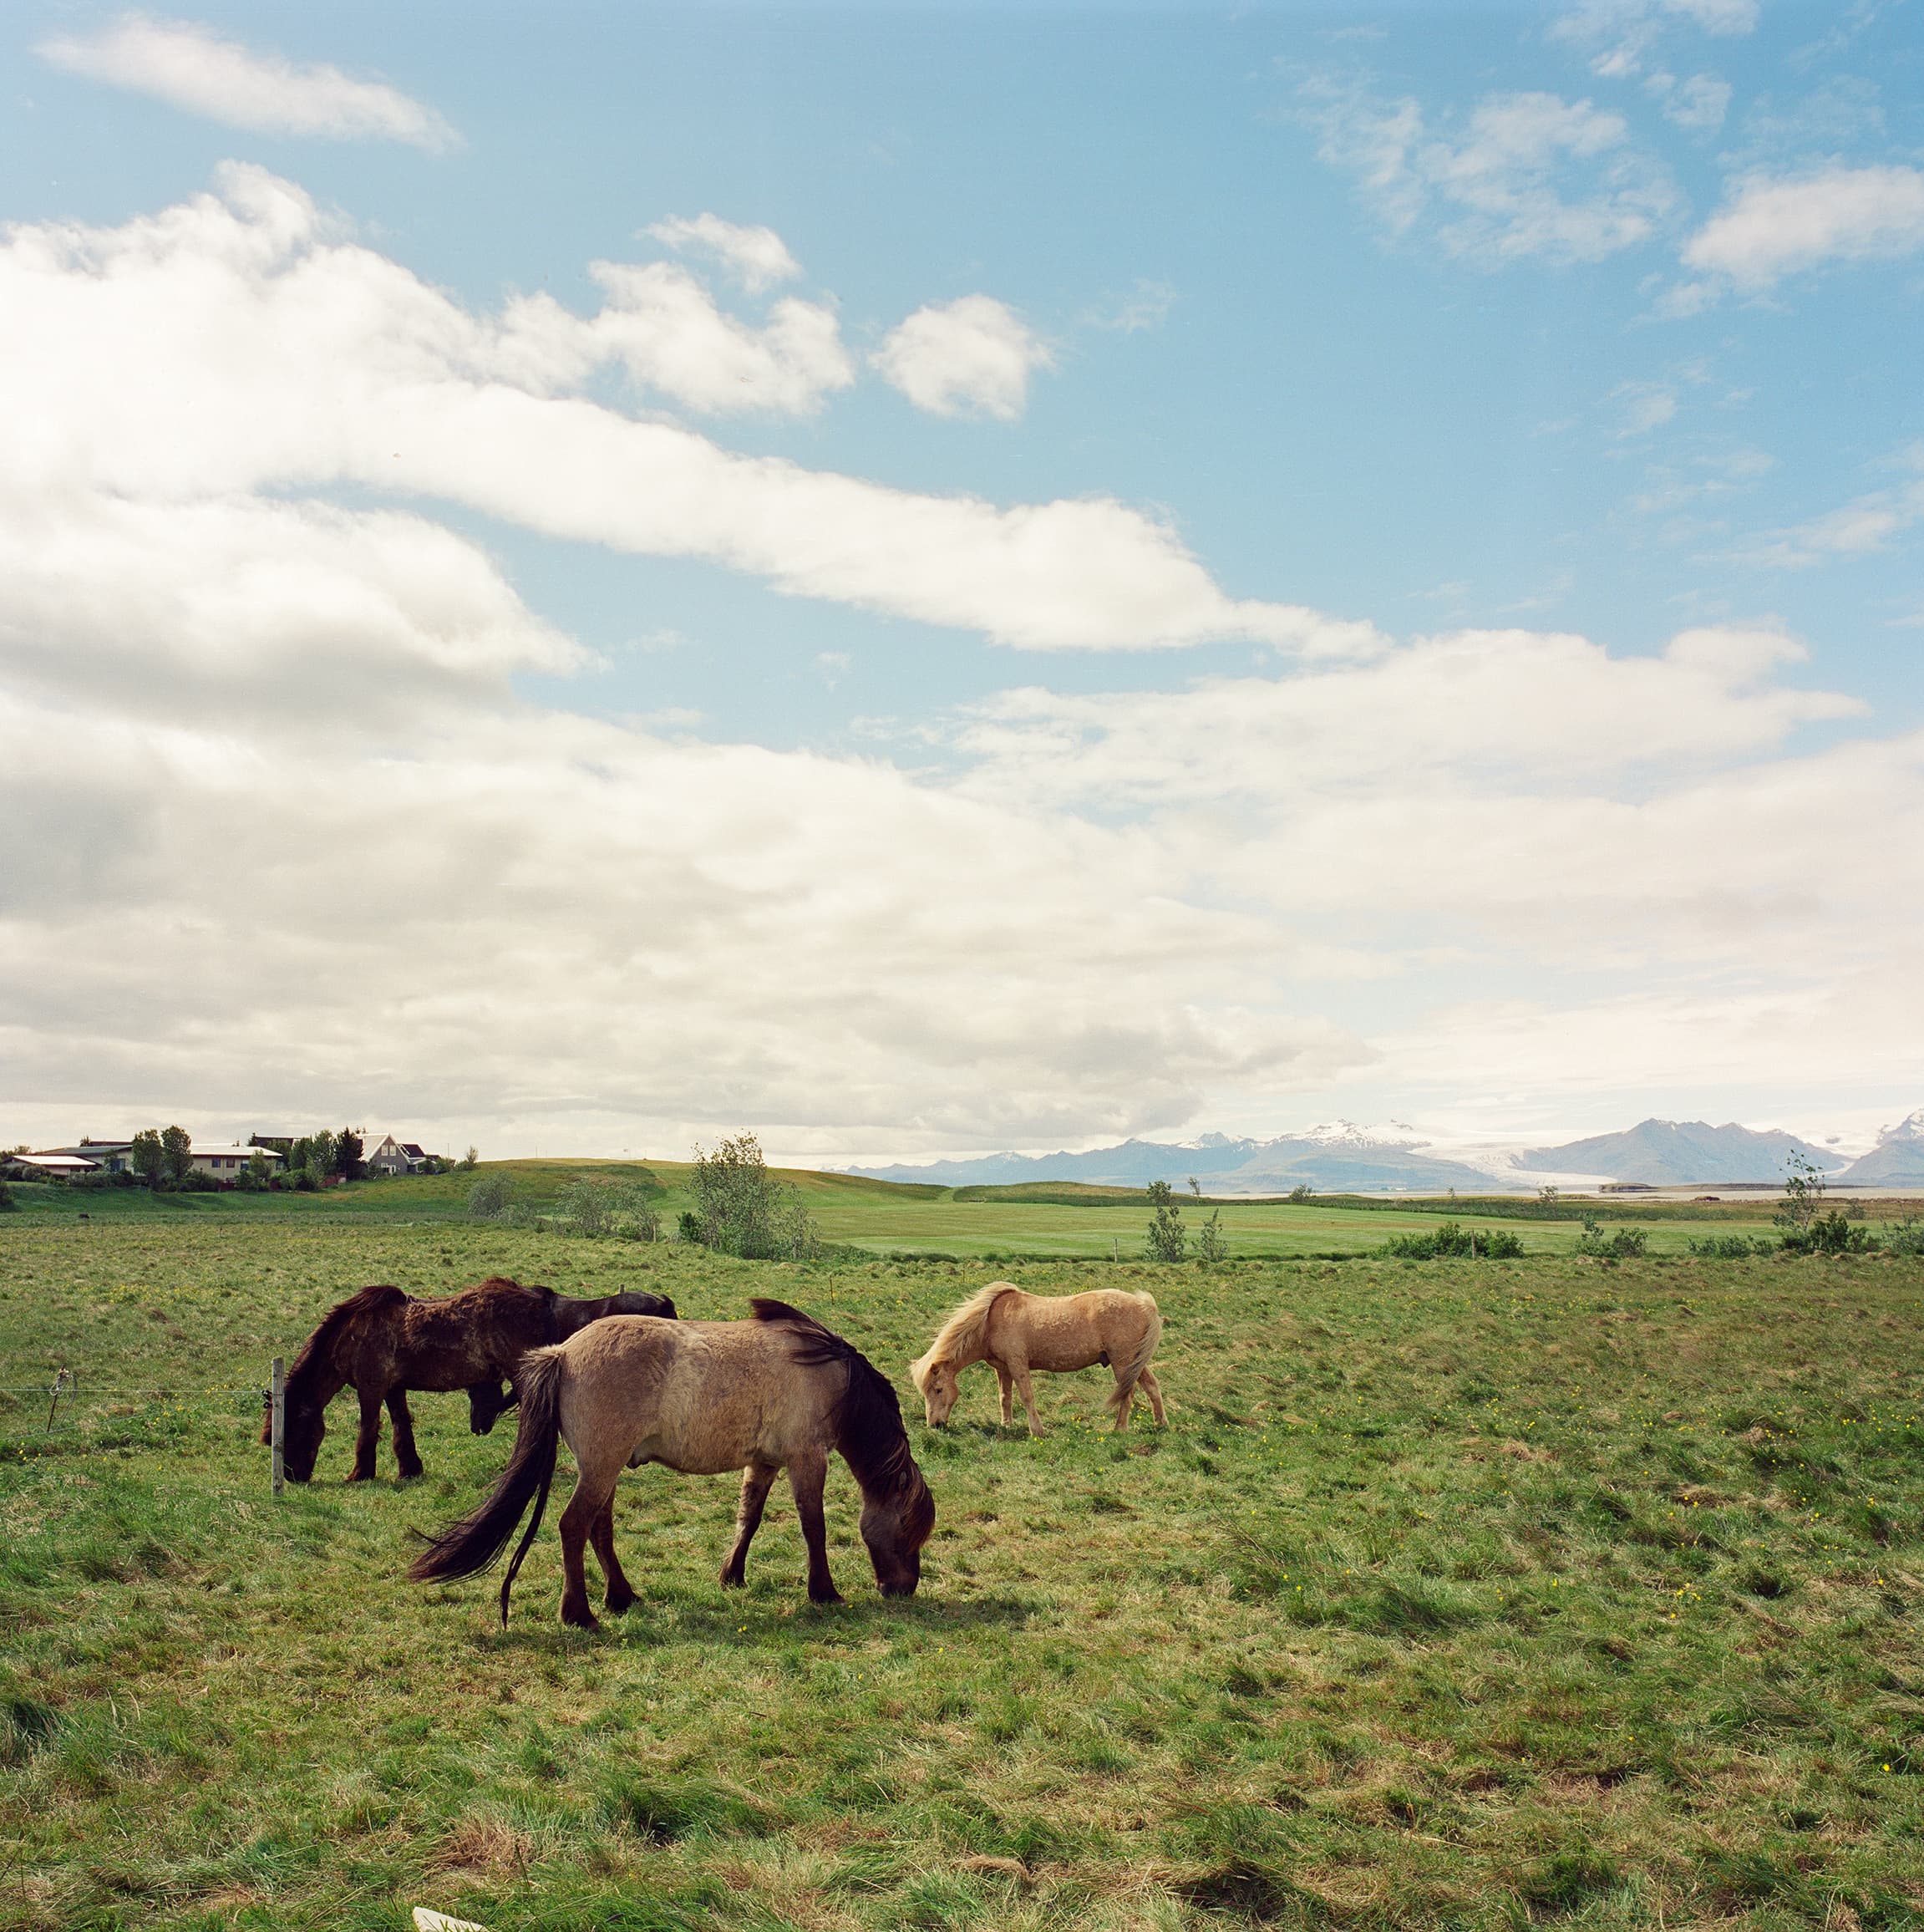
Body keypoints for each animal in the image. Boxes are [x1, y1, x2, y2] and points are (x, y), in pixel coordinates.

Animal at [266, 1278, 677, 1482]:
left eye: (290, 1432)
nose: (291, 1477)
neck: (353, 1333)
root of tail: (538, 1301)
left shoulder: (371, 1389)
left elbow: (368, 1429)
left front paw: (360, 1474)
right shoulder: (394, 1389)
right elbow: (401, 1427)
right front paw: (409, 1469)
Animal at [408, 1299, 936, 1629]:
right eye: (908, 1531)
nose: (904, 1589)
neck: (832, 1378)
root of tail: (563, 1353)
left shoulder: (764, 1463)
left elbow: (749, 1518)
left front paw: (732, 1575)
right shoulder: (806, 1460)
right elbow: (814, 1526)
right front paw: (823, 1591)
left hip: (607, 1471)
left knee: (599, 1529)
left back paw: (621, 1597)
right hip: (601, 1468)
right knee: (573, 1526)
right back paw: (580, 1614)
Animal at [910, 1282, 1164, 1435]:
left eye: (938, 1390)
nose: (935, 1425)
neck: (989, 1322)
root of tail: (1145, 1306)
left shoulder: (1017, 1364)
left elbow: (1027, 1396)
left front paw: (1037, 1430)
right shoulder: (1002, 1369)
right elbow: (1005, 1397)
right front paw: (1007, 1425)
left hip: (1123, 1362)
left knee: (1128, 1394)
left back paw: (1119, 1429)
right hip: (1135, 1363)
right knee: (1152, 1386)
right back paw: (1161, 1423)